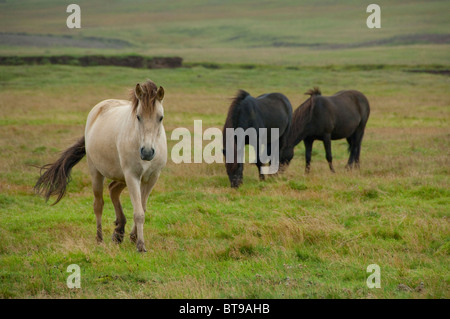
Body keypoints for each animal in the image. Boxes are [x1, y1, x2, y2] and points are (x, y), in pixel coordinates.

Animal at [33, 80, 167, 252]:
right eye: (138, 117)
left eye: (160, 118)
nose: (148, 152)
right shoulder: (132, 176)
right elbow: (138, 213)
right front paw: (141, 246)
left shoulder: (152, 178)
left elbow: (142, 209)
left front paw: (133, 236)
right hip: (97, 172)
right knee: (98, 205)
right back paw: (100, 239)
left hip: (121, 176)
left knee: (113, 189)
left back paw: (119, 232)